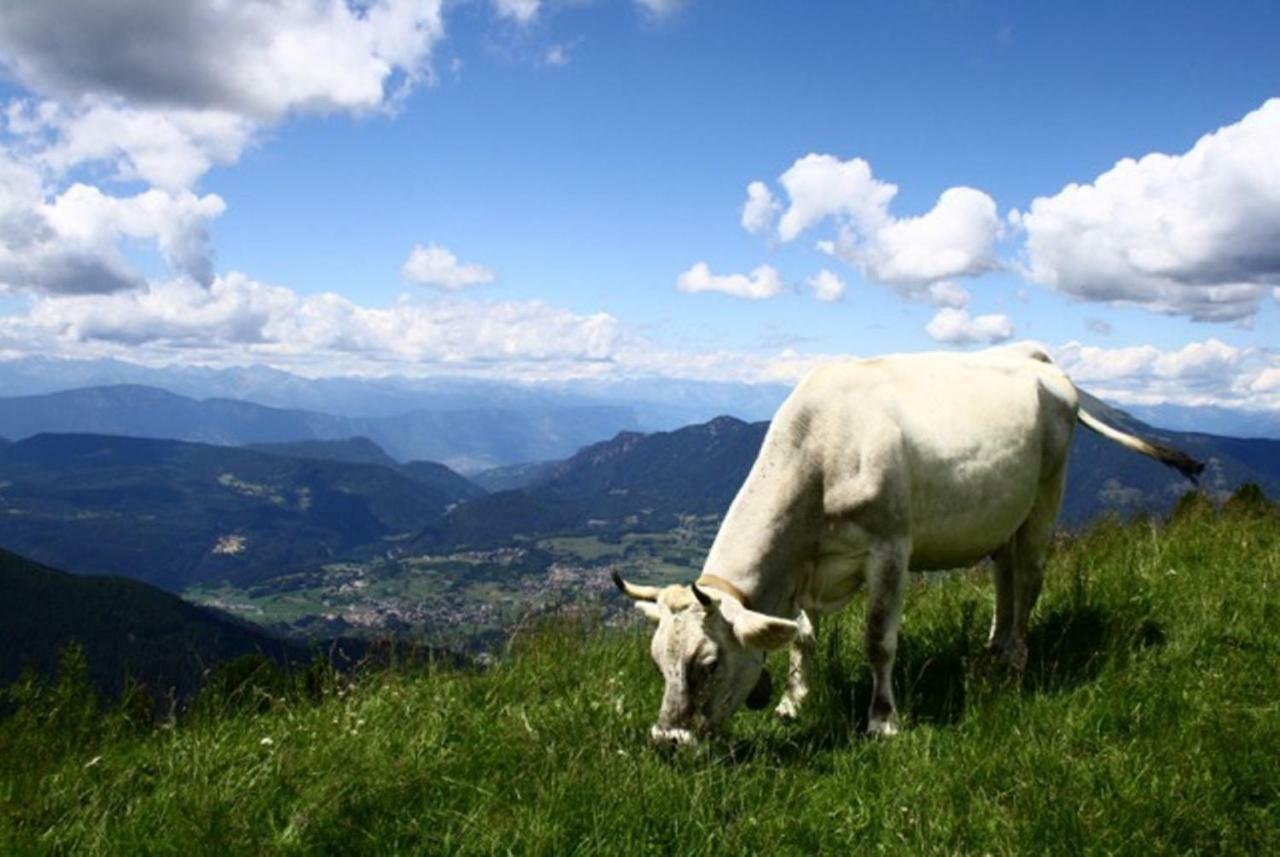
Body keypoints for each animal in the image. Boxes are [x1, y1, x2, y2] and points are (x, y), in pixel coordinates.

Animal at [614, 345, 1203, 746]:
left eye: (709, 664)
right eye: (658, 662)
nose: (667, 744)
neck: (821, 450)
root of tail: (1034, 356)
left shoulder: (891, 548)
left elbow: (878, 640)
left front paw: (882, 720)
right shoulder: (809, 563)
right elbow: (802, 636)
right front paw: (793, 702)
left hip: (1045, 496)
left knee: (1031, 574)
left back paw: (1014, 660)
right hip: (1000, 513)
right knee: (1005, 574)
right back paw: (992, 648)